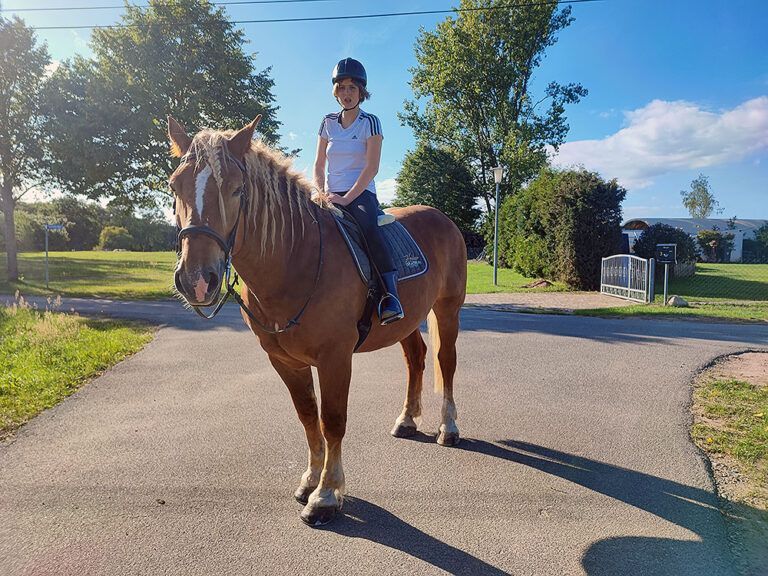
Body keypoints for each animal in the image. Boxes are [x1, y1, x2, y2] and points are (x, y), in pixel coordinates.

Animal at [167, 116, 467, 526]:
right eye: (174, 186)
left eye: (237, 189)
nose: (197, 279)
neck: (298, 258)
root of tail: (442, 218)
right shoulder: (283, 360)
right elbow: (308, 416)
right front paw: (310, 479)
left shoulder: (335, 357)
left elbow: (333, 420)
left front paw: (326, 495)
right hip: (407, 321)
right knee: (416, 359)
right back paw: (406, 420)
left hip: (447, 308)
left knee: (445, 363)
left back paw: (448, 427)